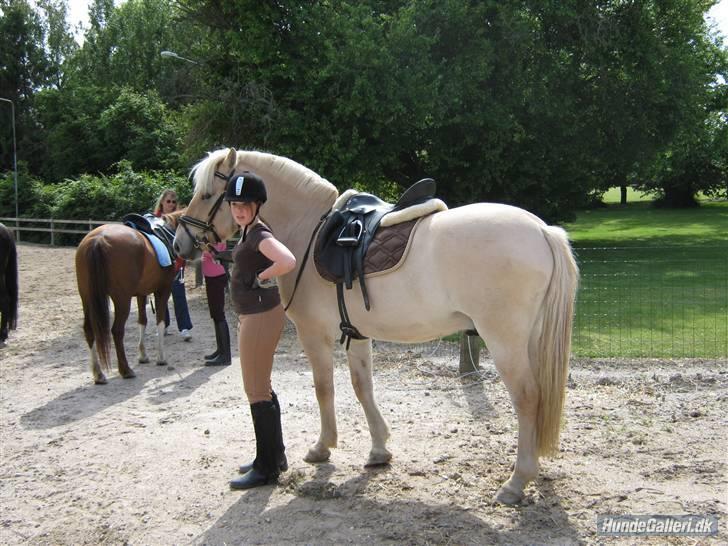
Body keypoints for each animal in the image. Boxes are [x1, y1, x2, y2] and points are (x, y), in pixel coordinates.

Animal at [75, 209, 183, 382]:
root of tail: (98, 240)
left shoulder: (141, 293)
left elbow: (142, 321)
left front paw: (143, 356)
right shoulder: (163, 290)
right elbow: (160, 321)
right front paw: (161, 358)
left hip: (87, 297)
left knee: (89, 329)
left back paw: (98, 374)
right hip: (121, 300)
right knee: (117, 331)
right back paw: (126, 370)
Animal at [173, 148, 576, 502]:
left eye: (207, 194)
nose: (180, 245)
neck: (308, 230)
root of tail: (543, 231)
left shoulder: (313, 335)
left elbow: (324, 389)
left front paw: (322, 447)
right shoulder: (357, 334)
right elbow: (362, 386)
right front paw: (379, 450)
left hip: (504, 341)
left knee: (527, 398)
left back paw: (516, 481)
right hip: (530, 339)